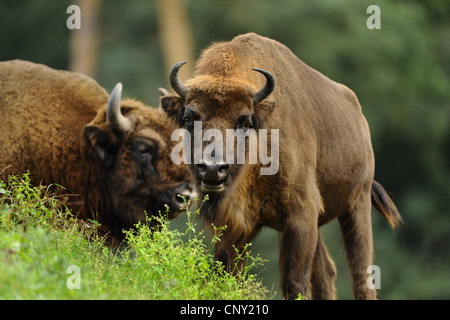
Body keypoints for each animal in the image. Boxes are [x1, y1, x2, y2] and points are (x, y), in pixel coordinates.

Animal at [163, 33, 404, 300]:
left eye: (246, 121)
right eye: (188, 118)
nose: (213, 168)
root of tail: (360, 120)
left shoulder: (301, 215)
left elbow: (295, 282)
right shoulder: (236, 226)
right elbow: (227, 274)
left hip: (357, 204)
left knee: (362, 274)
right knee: (326, 273)